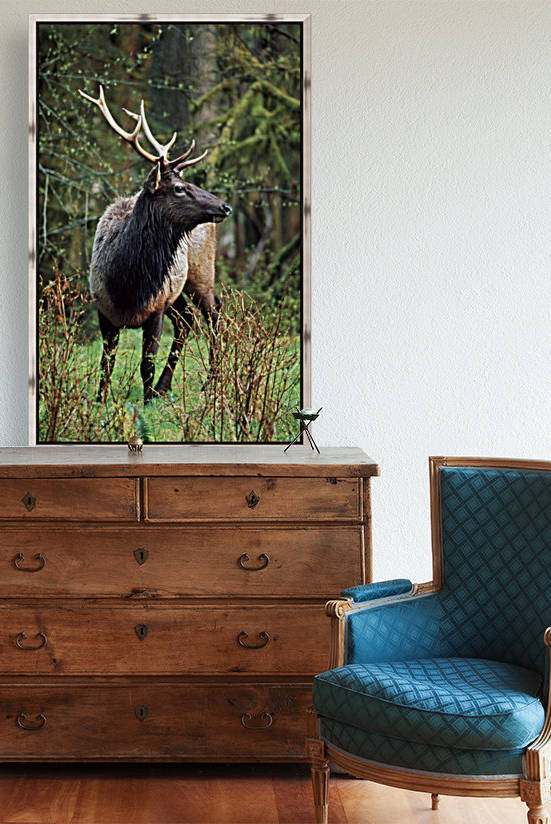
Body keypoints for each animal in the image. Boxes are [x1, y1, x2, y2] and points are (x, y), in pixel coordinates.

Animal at [78, 86, 232, 405]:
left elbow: (145, 362)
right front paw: (100, 399)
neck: (126, 283)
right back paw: (166, 385)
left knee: (213, 313)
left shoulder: (156, 308)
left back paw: (210, 383)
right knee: (187, 321)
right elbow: (106, 361)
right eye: (179, 187)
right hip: (177, 290)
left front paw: (147, 400)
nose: (225, 206)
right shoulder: (103, 307)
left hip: (201, 273)